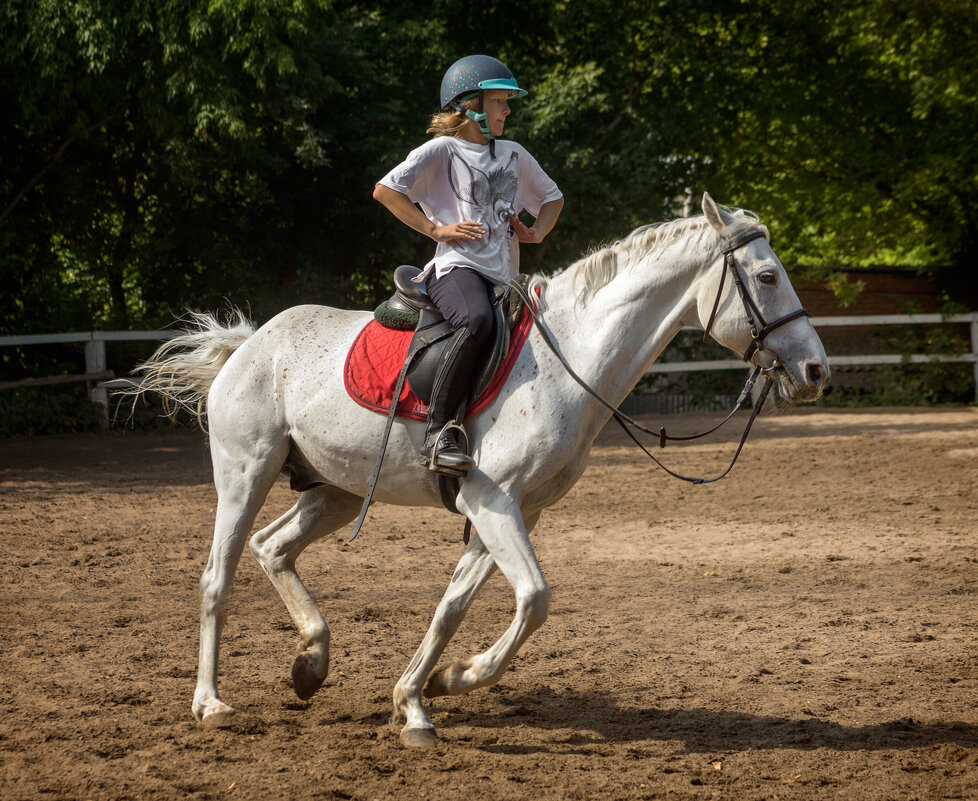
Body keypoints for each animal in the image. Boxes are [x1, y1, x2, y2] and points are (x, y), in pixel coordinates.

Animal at [133, 192, 828, 744]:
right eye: (768, 277)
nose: (817, 370)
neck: (566, 363)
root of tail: (249, 343)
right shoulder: (493, 504)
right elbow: (535, 599)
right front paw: (459, 676)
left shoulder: (515, 512)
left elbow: (453, 607)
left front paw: (422, 695)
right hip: (244, 474)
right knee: (217, 578)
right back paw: (211, 703)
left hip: (334, 491)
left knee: (272, 548)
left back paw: (312, 662)